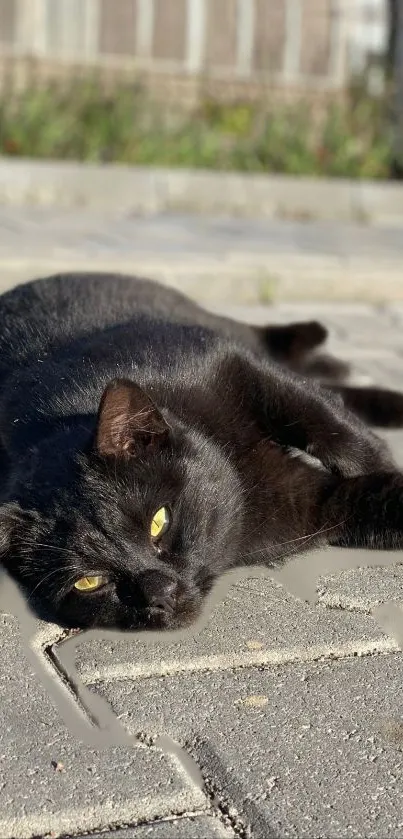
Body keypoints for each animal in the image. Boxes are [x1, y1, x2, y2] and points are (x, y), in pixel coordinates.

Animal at [0, 272, 403, 632]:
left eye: (159, 522)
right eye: (88, 582)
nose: (159, 594)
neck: (233, 468)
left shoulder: (230, 362)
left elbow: (326, 423)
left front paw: (378, 459)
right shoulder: (305, 505)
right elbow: (373, 499)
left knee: (290, 357)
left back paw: (324, 345)